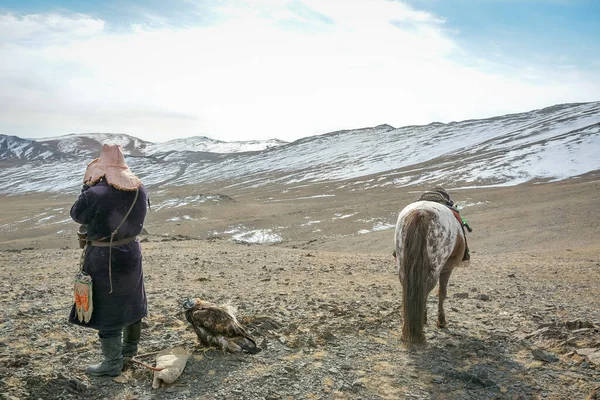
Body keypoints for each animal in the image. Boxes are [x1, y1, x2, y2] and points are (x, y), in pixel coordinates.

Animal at [396, 200, 466, 344]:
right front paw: (441, 321)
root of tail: (421, 213)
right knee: (425, 290)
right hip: (434, 267)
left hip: (403, 266)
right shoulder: (447, 269)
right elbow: (442, 293)